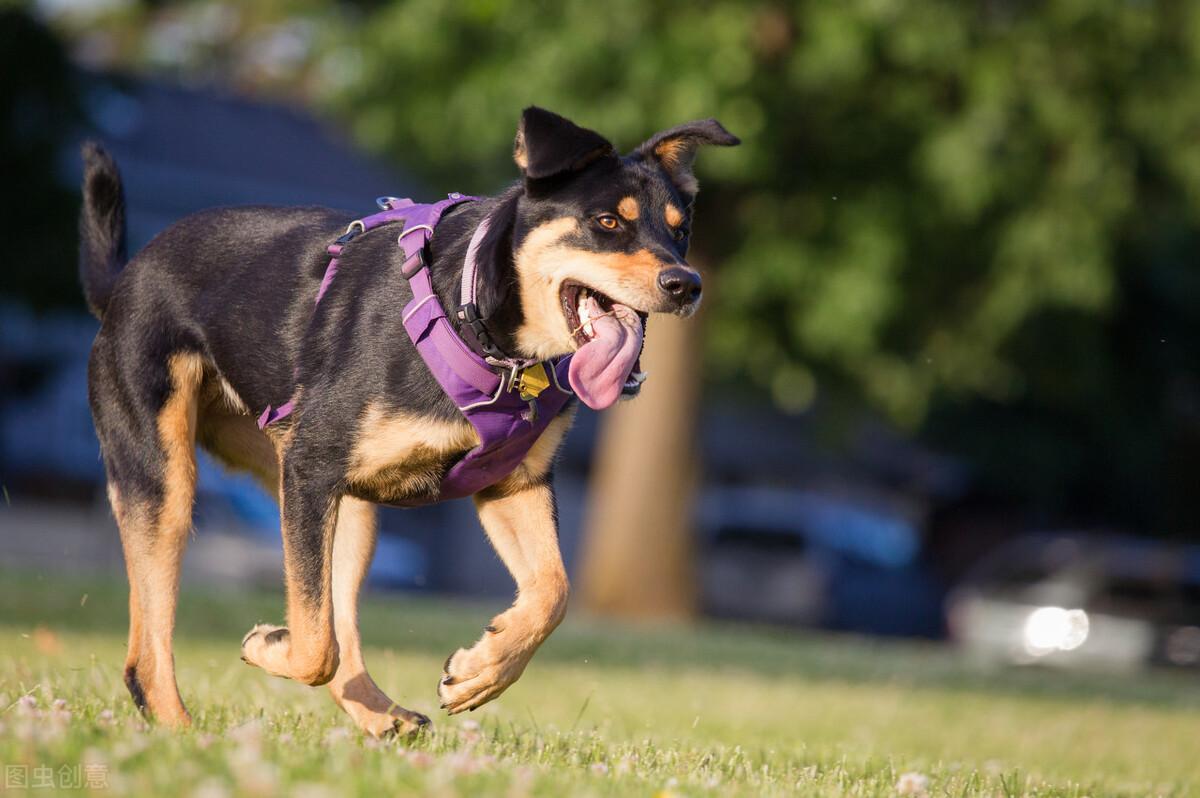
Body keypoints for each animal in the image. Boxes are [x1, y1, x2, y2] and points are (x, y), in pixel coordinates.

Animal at [79, 105, 734, 734]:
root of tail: (122, 281)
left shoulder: (514, 483)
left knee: (340, 639)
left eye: (681, 230)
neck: (487, 331)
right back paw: (183, 733)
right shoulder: (313, 467)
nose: (686, 283)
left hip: (343, 505)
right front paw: (268, 644)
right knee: (155, 653)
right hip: (169, 481)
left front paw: (482, 672)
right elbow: (313, 645)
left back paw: (380, 715)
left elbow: (554, 590)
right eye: (607, 223)